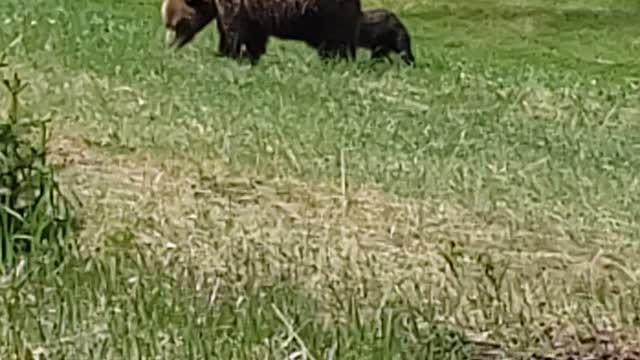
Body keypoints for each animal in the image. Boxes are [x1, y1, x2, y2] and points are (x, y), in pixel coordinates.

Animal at [159, 0, 364, 63]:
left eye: (176, 25)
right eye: (166, 24)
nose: (170, 45)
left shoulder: (236, 8)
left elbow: (238, 35)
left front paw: (232, 54)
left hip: (321, 13)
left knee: (335, 40)